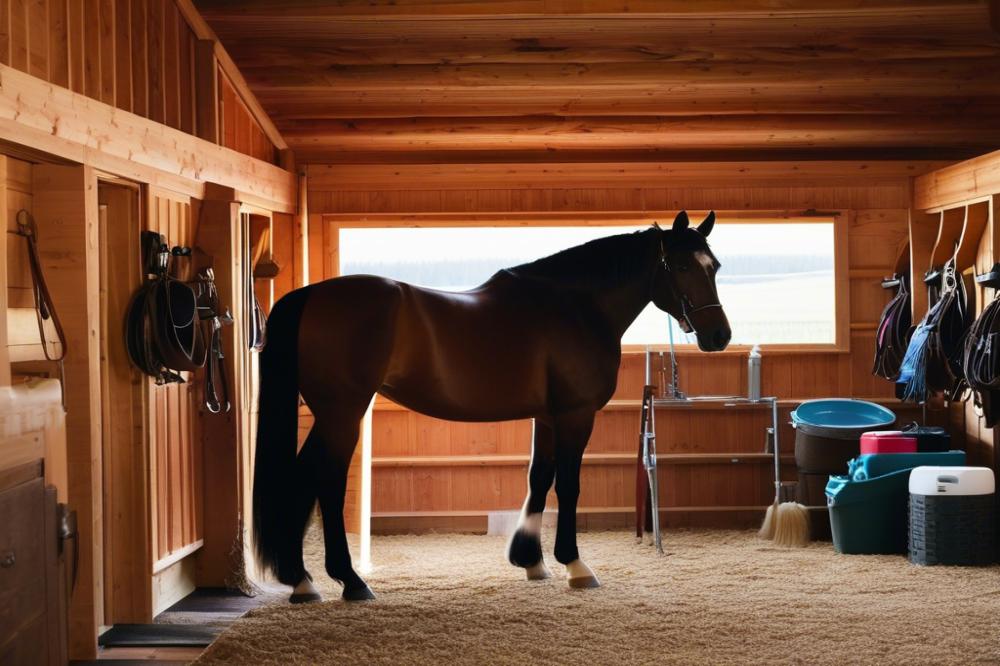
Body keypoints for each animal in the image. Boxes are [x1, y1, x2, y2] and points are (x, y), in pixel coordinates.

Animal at [252, 210, 731, 603]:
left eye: (715, 266)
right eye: (682, 265)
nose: (719, 336)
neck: (575, 307)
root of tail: (311, 296)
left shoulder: (547, 416)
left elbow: (539, 479)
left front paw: (531, 560)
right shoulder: (575, 414)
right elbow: (568, 485)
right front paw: (575, 565)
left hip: (333, 414)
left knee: (304, 478)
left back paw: (303, 581)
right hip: (343, 413)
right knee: (325, 481)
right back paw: (349, 581)